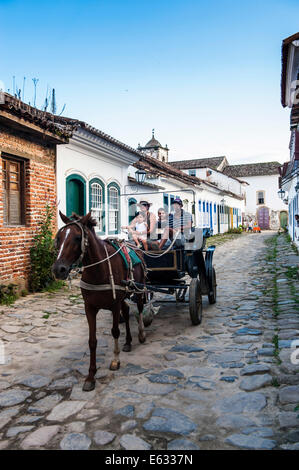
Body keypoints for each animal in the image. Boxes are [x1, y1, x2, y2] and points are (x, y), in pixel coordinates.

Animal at [52, 211, 147, 392]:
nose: (58, 269)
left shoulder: (114, 305)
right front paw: (90, 376)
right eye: (58, 237)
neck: (98, 270)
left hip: (138, 289)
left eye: (77, 237)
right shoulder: (89, 307)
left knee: (139, 308)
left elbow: (115, 331)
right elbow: (92, 341)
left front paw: (115, 360)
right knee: (127, 311)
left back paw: (141, 334)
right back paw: (128, 342)